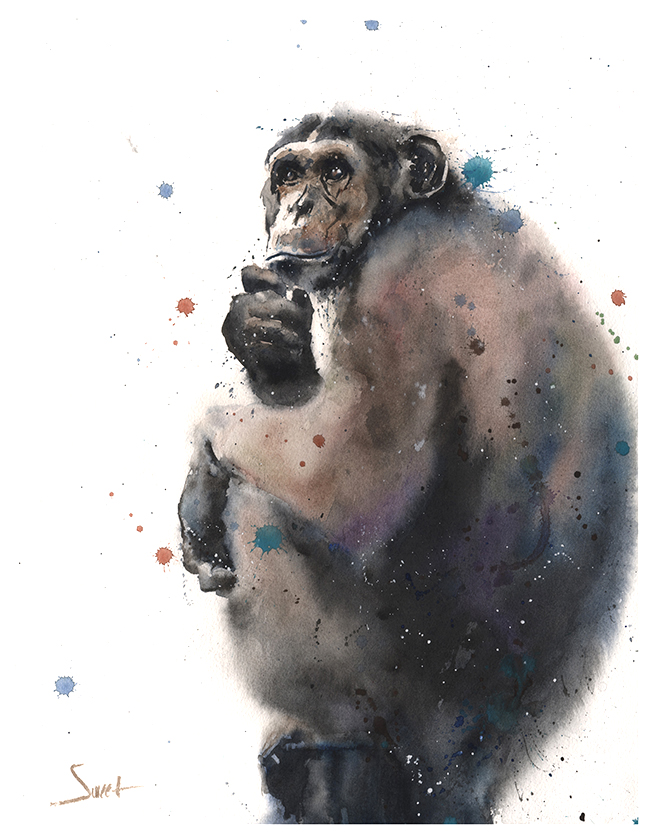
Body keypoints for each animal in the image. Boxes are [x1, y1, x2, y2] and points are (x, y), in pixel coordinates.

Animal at [178, 111, 635, 823]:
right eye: (289, 173)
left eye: (335, 171)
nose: (299, 205)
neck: (416, 214)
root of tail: (468, 775)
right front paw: (265, 329)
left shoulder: (398, 284)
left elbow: (351, 480)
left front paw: (201, 465)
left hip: (391, 703)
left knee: (257, 509)